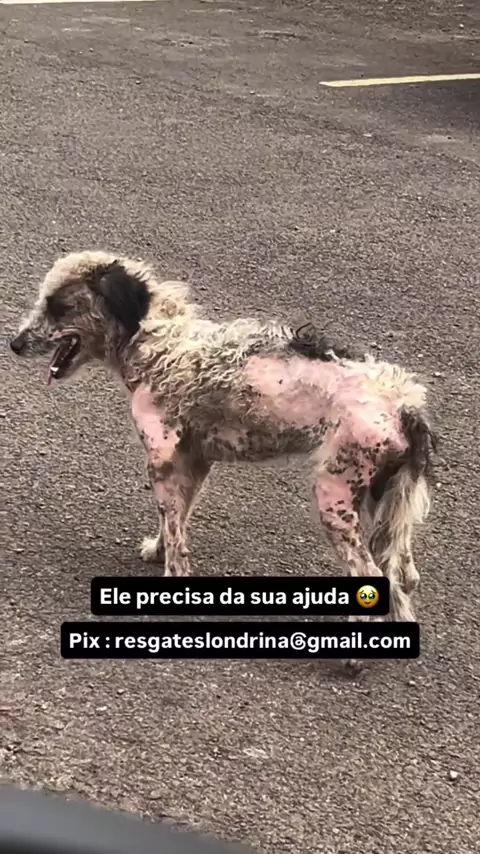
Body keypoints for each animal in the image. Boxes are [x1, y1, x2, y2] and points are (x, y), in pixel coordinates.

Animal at [10, 250, 437, 634]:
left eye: (59, 306)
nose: (14, 344)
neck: (156, 343)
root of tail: (405, 403)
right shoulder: (192, 460)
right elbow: (175, 518)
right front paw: (159, 550)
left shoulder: (162, 456)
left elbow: (174, 527)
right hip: (386, 504)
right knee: (403, 575)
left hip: (336, 498)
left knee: (371, 572)